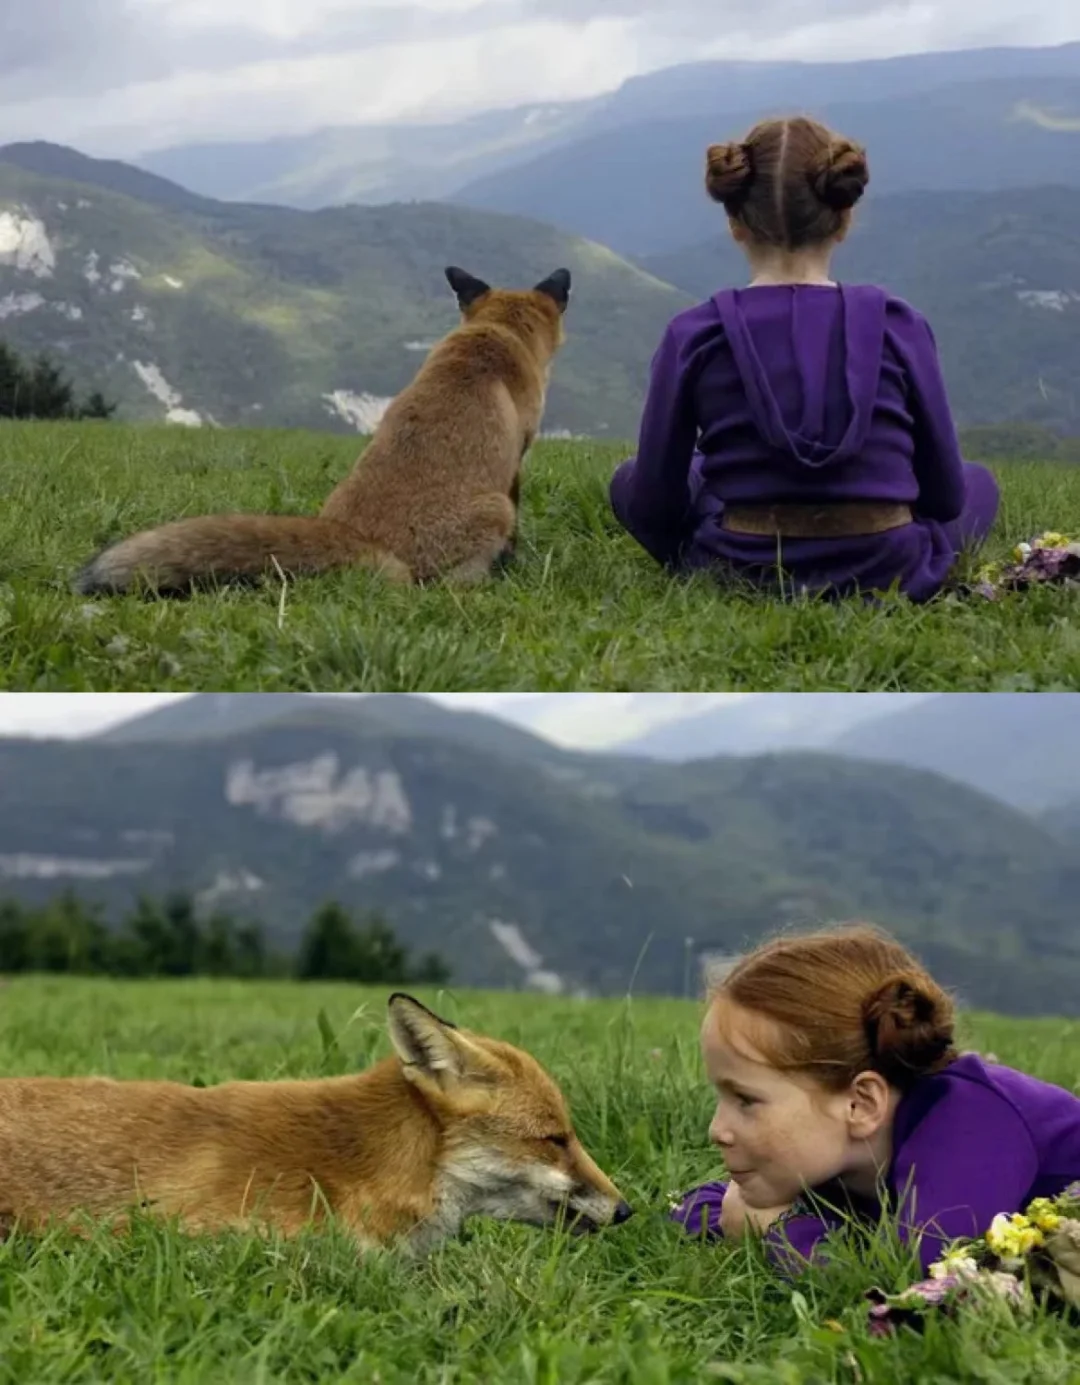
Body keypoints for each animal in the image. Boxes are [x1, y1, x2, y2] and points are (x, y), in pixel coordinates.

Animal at [73, 267, 573, 598]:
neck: (491, 337)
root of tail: (360, 538)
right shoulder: (516, 464)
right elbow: (518, 522)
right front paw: (515, 563)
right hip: (490, 512)